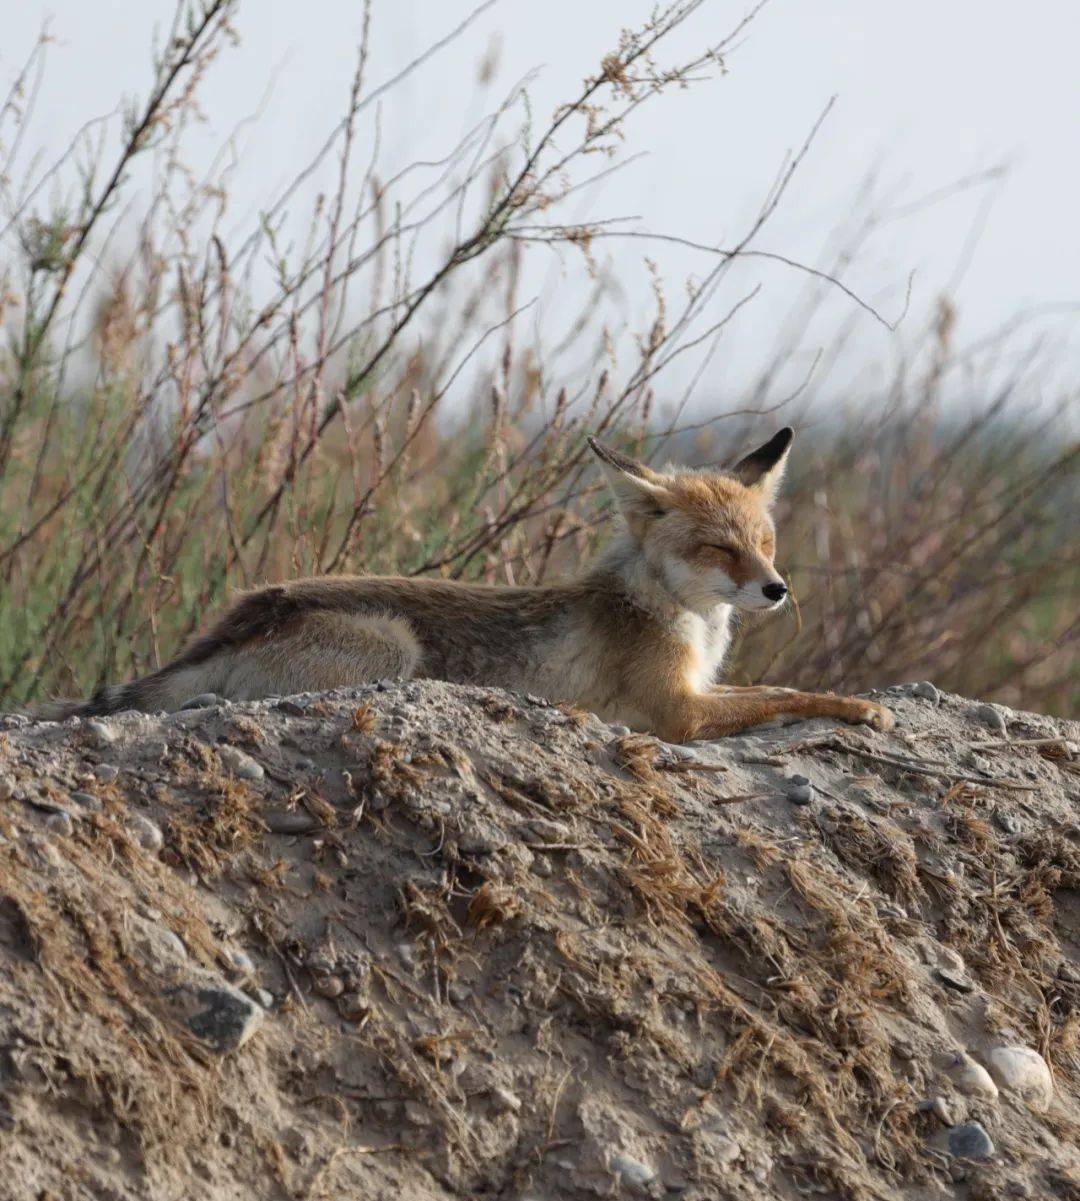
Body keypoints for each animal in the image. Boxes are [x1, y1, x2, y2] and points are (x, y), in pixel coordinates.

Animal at [44, 427, 893, 735]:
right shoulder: (675, 711)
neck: (666, 612)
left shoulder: (696, 692)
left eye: (766, 545)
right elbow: (788, 694)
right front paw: (857, 706)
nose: (777, 590)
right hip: (394, 650)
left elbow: (778, 686)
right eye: (719, 549)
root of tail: (248, 610)